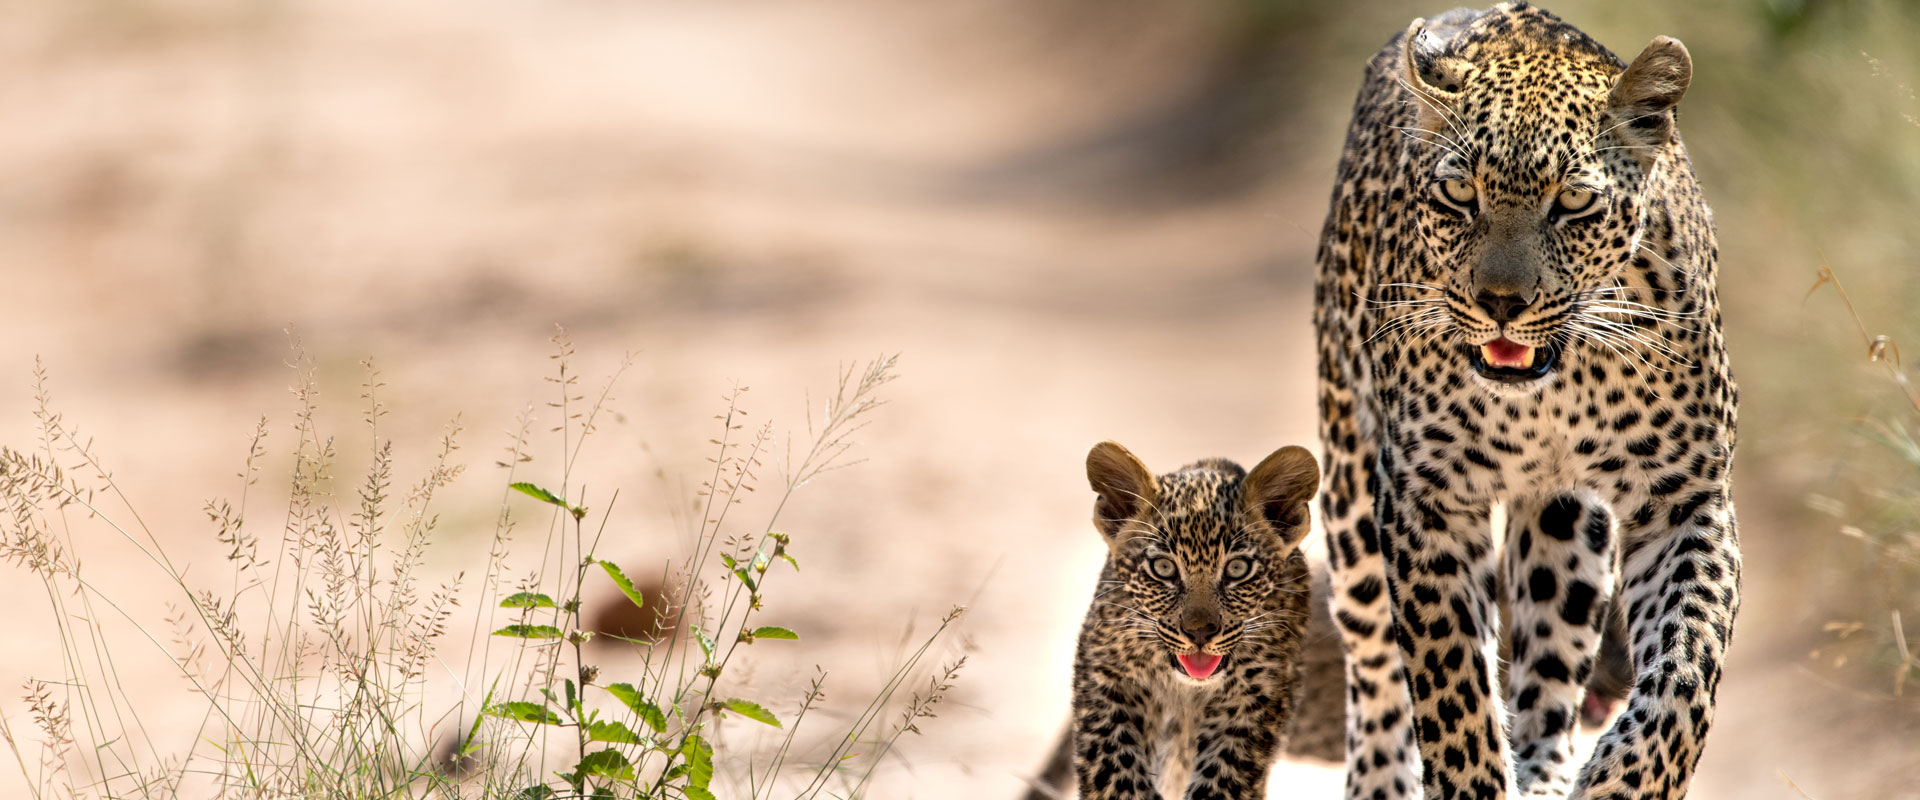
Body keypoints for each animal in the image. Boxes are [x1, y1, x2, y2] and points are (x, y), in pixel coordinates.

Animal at [1320, 3, 1743, 794]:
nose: (1501, 303)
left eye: (1572, 203)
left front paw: (1623, 780)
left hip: (1566, 517)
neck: (1552, 391)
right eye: (1460, 195)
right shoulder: (1424, 501)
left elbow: (1686, 672)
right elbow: (1452, 692)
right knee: (1375, 667)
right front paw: (1471, 780)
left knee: (1549, 666)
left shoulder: (1686, 500)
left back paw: (1546, 774)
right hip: (1350, 490)